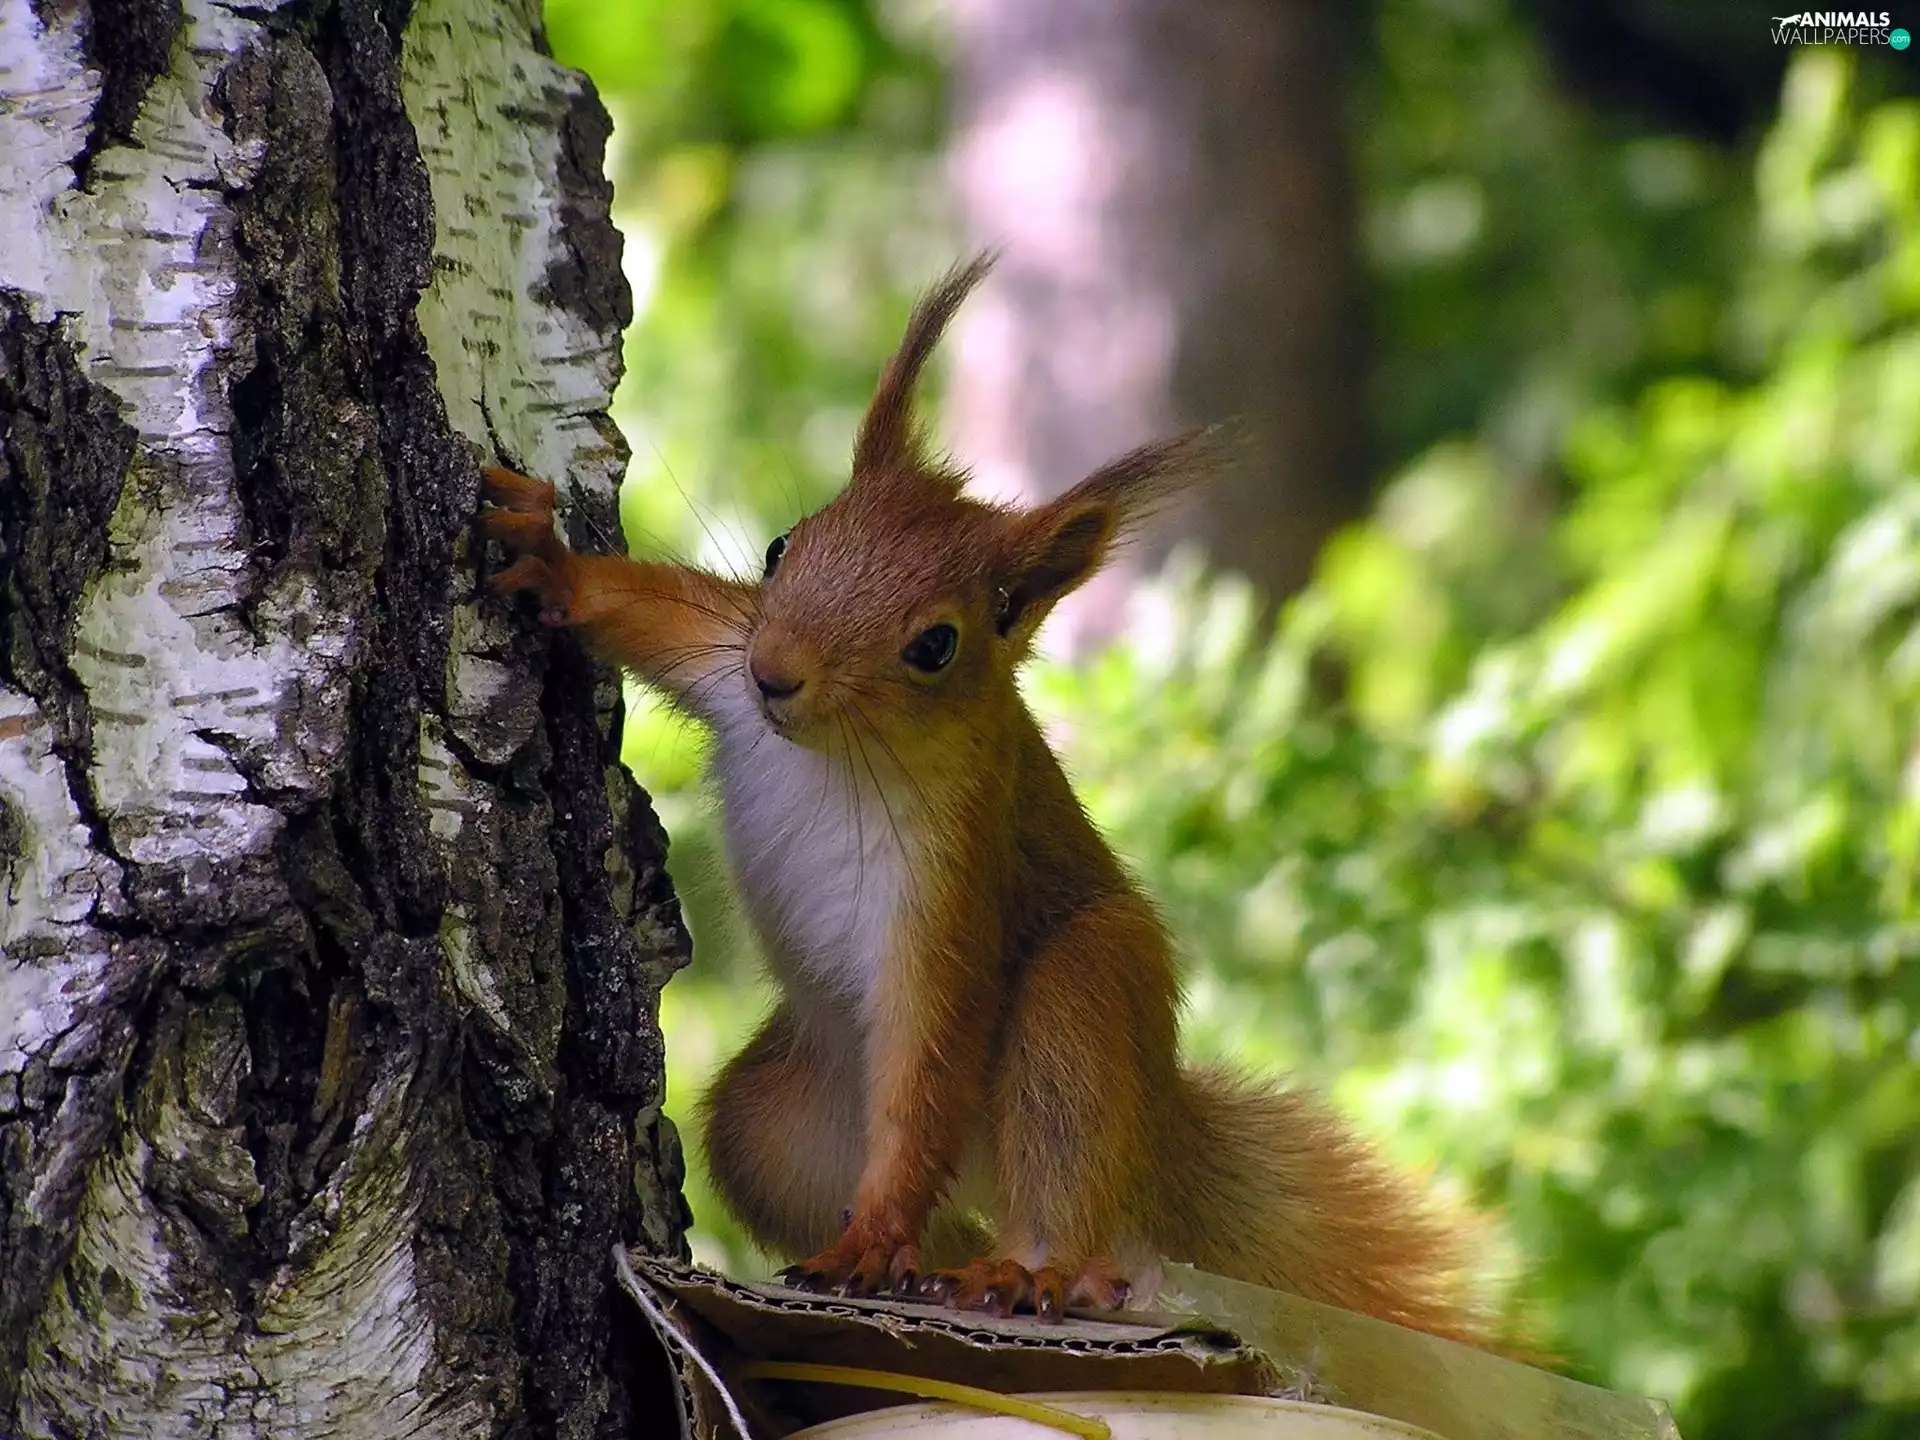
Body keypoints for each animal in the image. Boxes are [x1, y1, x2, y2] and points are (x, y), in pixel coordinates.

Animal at [478, 256, 1492, 1344]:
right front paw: (550, 560)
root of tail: (1154, 1144)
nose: (775, 674)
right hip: (777, 1124)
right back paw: (927, 1268)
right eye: (785, 546)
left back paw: (1032, 1273)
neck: (835, 753)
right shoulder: (722, 657)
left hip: (1083, 1003)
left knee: (1058, 1173)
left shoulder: (956, 871)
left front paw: (875, 1234)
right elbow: (648, 610)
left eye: (936, 645)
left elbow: (931, 1050)